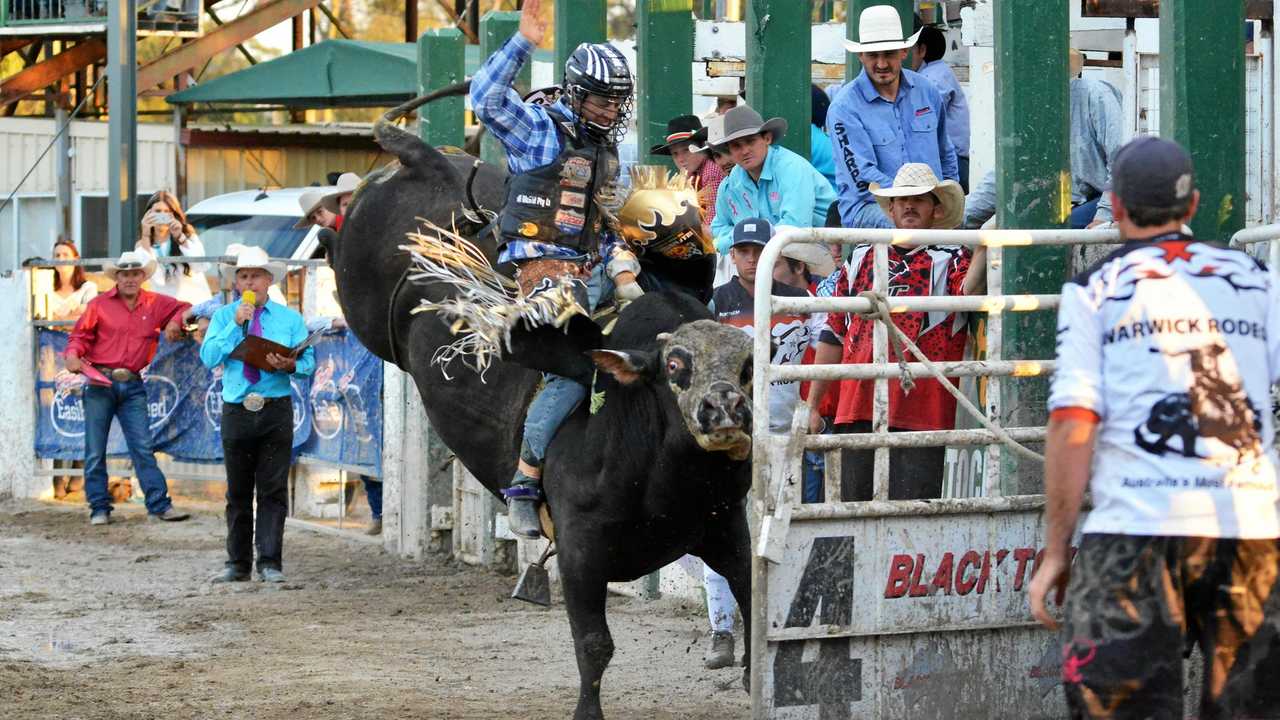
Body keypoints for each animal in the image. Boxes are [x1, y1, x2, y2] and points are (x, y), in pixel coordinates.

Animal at [325, 87, 752, 712]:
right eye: (675, 367)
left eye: (747, 366)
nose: (725, 410)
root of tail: (428, 162)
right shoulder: (579, 554)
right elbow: (594, 645)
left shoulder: (727, 530)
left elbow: (758, 609)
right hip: (361, 289)